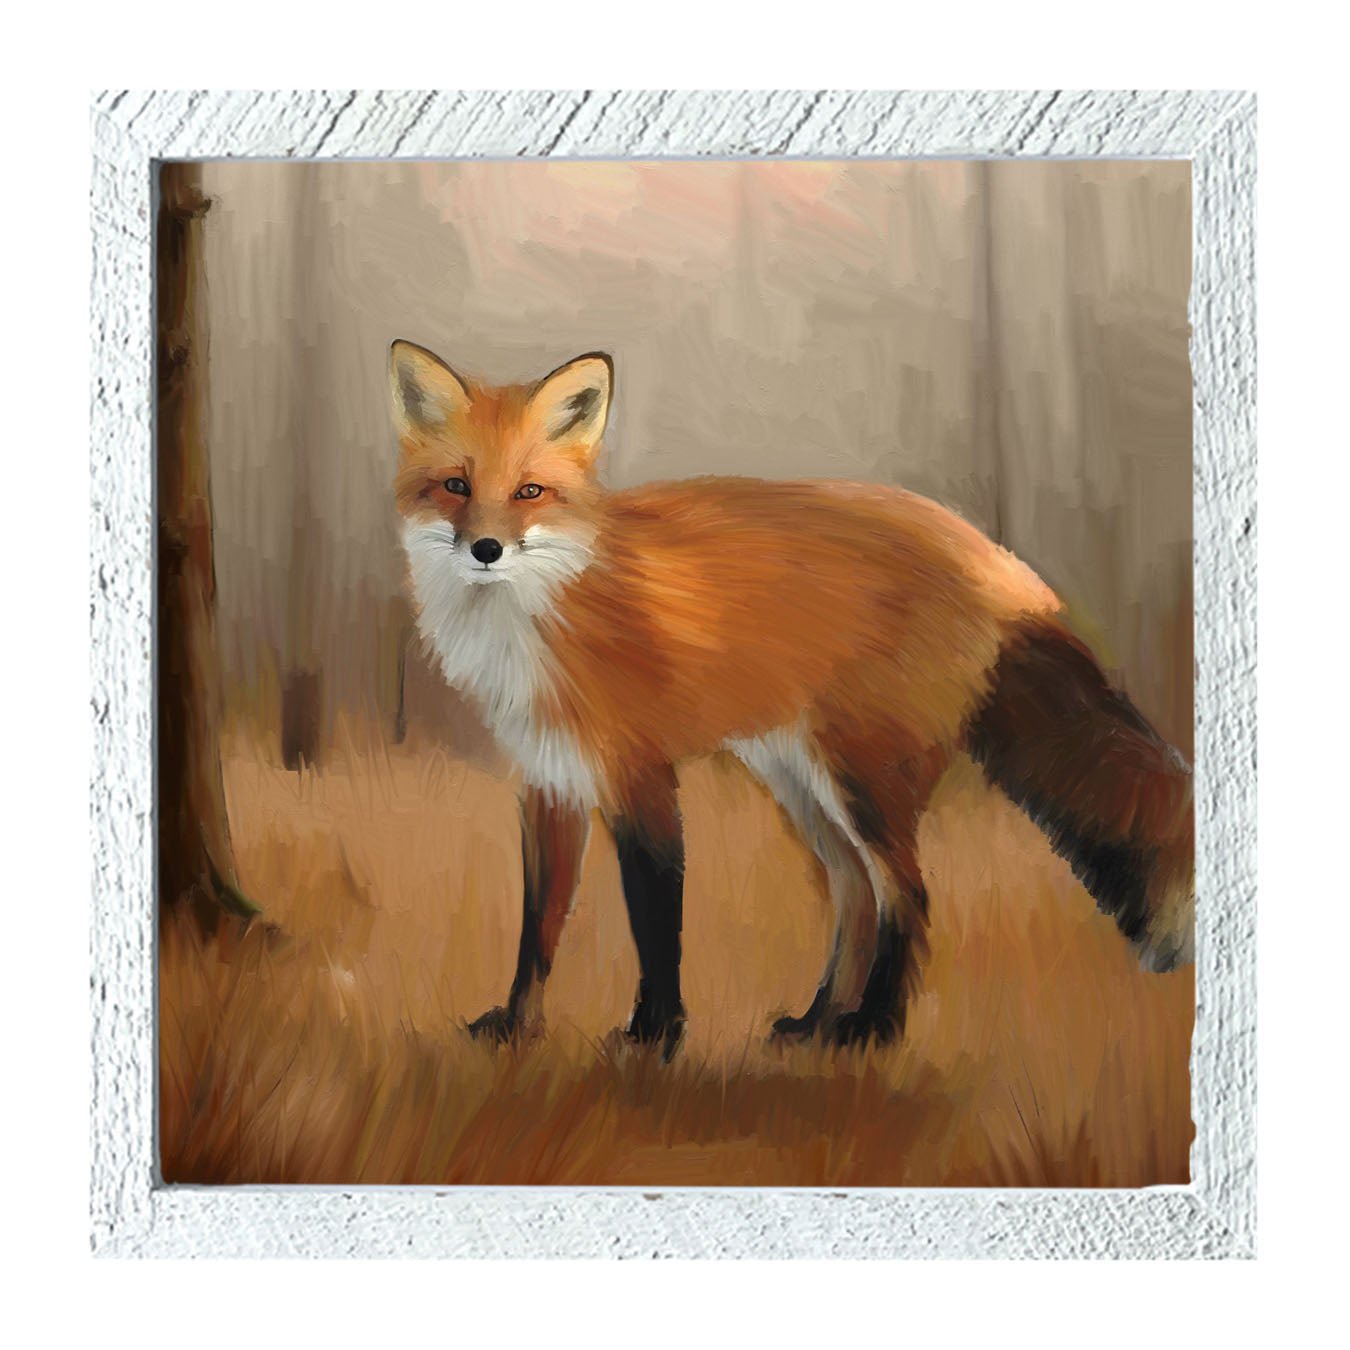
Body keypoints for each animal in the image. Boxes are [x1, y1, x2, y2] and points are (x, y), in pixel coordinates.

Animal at [387, 340, 1195, 1056]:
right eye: (456, 486)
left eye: (529, 491)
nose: (485, 549)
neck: (542, 611)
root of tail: (993, 556)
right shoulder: (549, 782)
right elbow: (539, 927)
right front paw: (517, 1028)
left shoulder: (641, 777)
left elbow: (655, 921)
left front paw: (655, 1037)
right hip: (802, 782)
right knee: (856, 894)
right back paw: (817, 1023)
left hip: (861, 778)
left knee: (909, 895)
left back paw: (873, 1030)